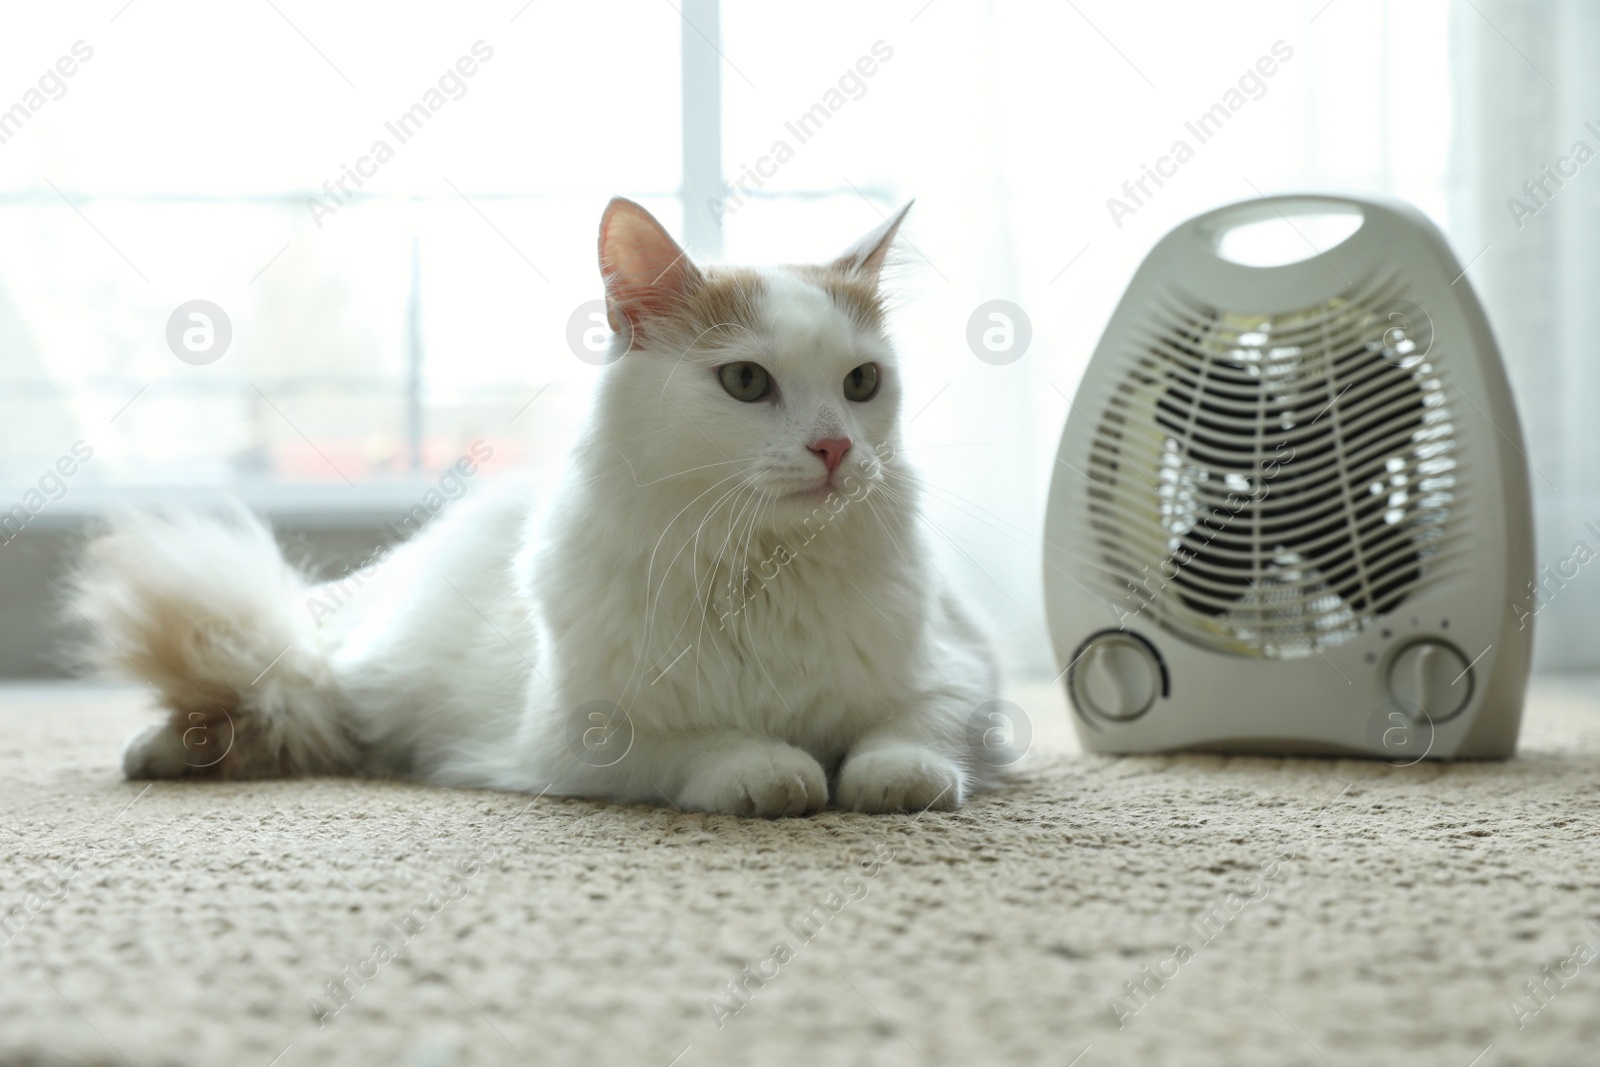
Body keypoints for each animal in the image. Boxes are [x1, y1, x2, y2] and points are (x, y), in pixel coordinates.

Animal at [75, 198, 1004, 819]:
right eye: (745, 381)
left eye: (862, 382)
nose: (837, 449)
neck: (765, 568)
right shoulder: (582, 736)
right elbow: (721, 749)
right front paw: (777, 773)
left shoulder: (965, 677)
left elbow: (910, 734)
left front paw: (891, 779)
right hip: (352, 668)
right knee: (276, 686)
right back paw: (152, 751)